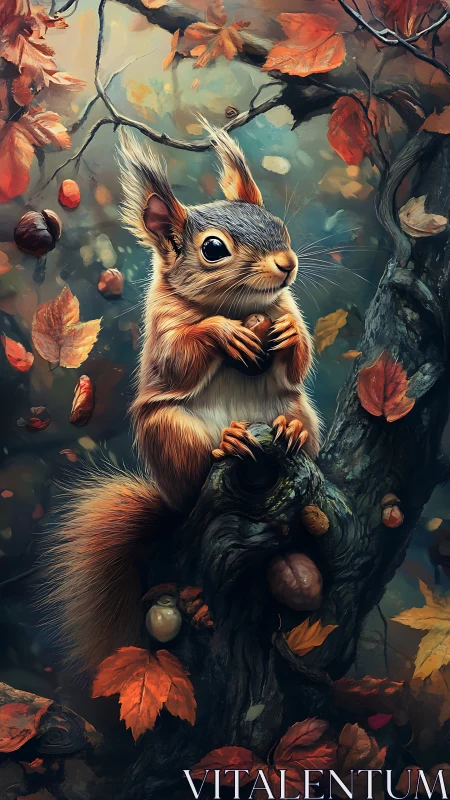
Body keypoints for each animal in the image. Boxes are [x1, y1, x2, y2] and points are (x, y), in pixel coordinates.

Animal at [47, 126, 320, 670]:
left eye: (278, 226)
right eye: (213, 249)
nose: (287, 265)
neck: (238, 306)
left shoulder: (286, 308)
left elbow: (298, 355)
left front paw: (285, 334)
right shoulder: (164, 329)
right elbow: (180, 356)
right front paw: (221, 332)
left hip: (295, 406)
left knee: (295, 423)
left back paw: (291, 430)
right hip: (171, 434)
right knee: (196, 477)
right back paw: (230, 443)